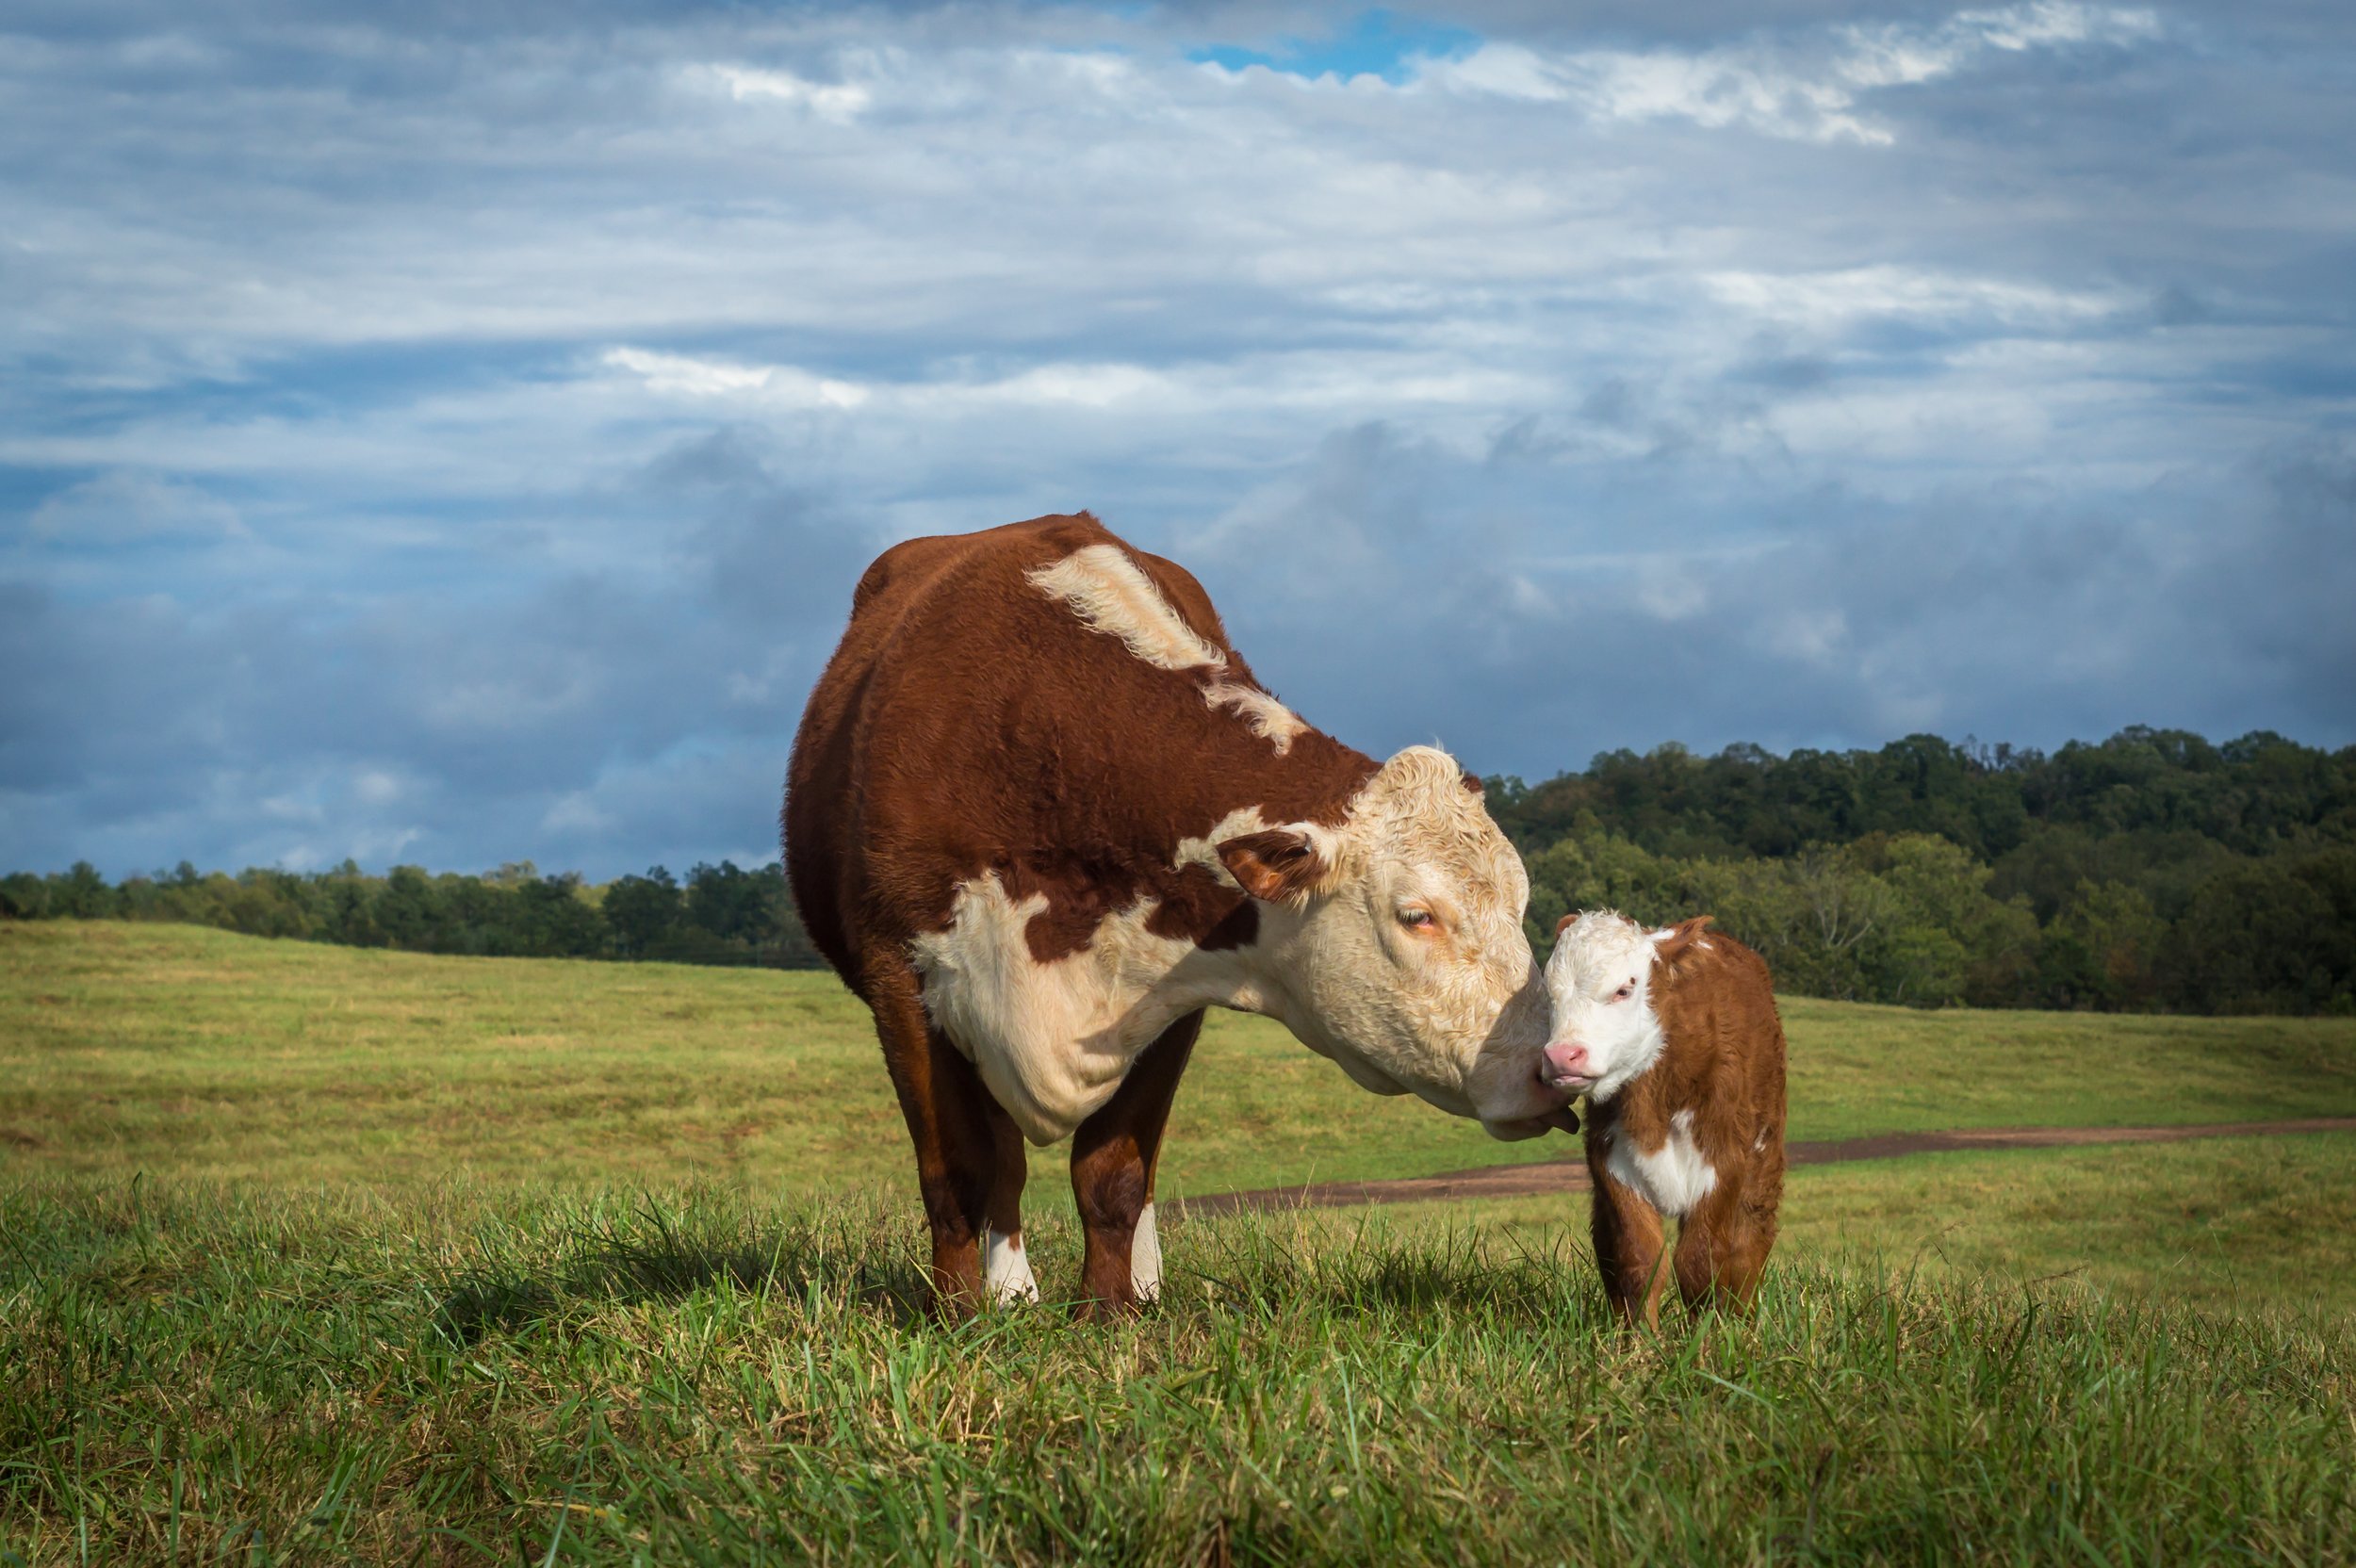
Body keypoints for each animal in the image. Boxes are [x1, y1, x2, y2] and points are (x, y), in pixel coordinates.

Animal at [785, 512, 1573, 1318]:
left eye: (1521, 905)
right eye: (1418, 916)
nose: (1549, 1066)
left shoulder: (1169, 994)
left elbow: (1114, 1173)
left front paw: (1111, 1314)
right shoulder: (903, 982)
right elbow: (961, 1172)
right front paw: (962, 1315)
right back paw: (1011, 1294)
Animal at [1540, 911, 1786, 1325]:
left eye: (1624, 990)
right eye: (1550, 994)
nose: (1561, 1055)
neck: (1654, 1107)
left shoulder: (1723, 1161)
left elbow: (1701, 1262)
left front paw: (1708, 1334)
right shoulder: (1611, 1161)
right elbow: (1639, 1259)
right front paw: (1640, 1337)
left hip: (1763, 1160)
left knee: (1749, 1245)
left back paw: (1743, 1321)